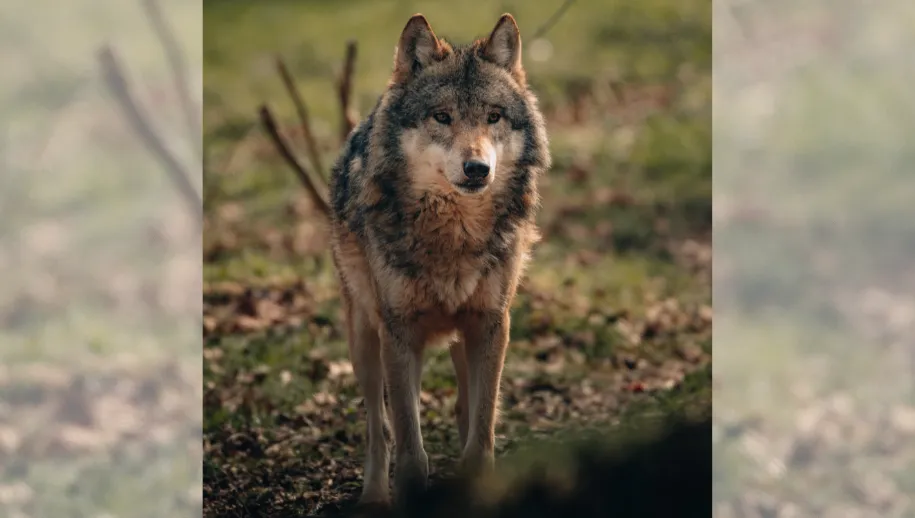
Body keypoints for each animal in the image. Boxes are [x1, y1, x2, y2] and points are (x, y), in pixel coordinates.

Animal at [319, 13, 550, 505]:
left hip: (462, 341)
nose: (477, 169)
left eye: (493, 116)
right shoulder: (399, 330)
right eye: (442, 116)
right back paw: (373, 497)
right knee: (378, 427)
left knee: (465, 408)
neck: (454, 236)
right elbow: (407, 443)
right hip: (365, 341)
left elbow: (481, 431)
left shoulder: (492, 323)